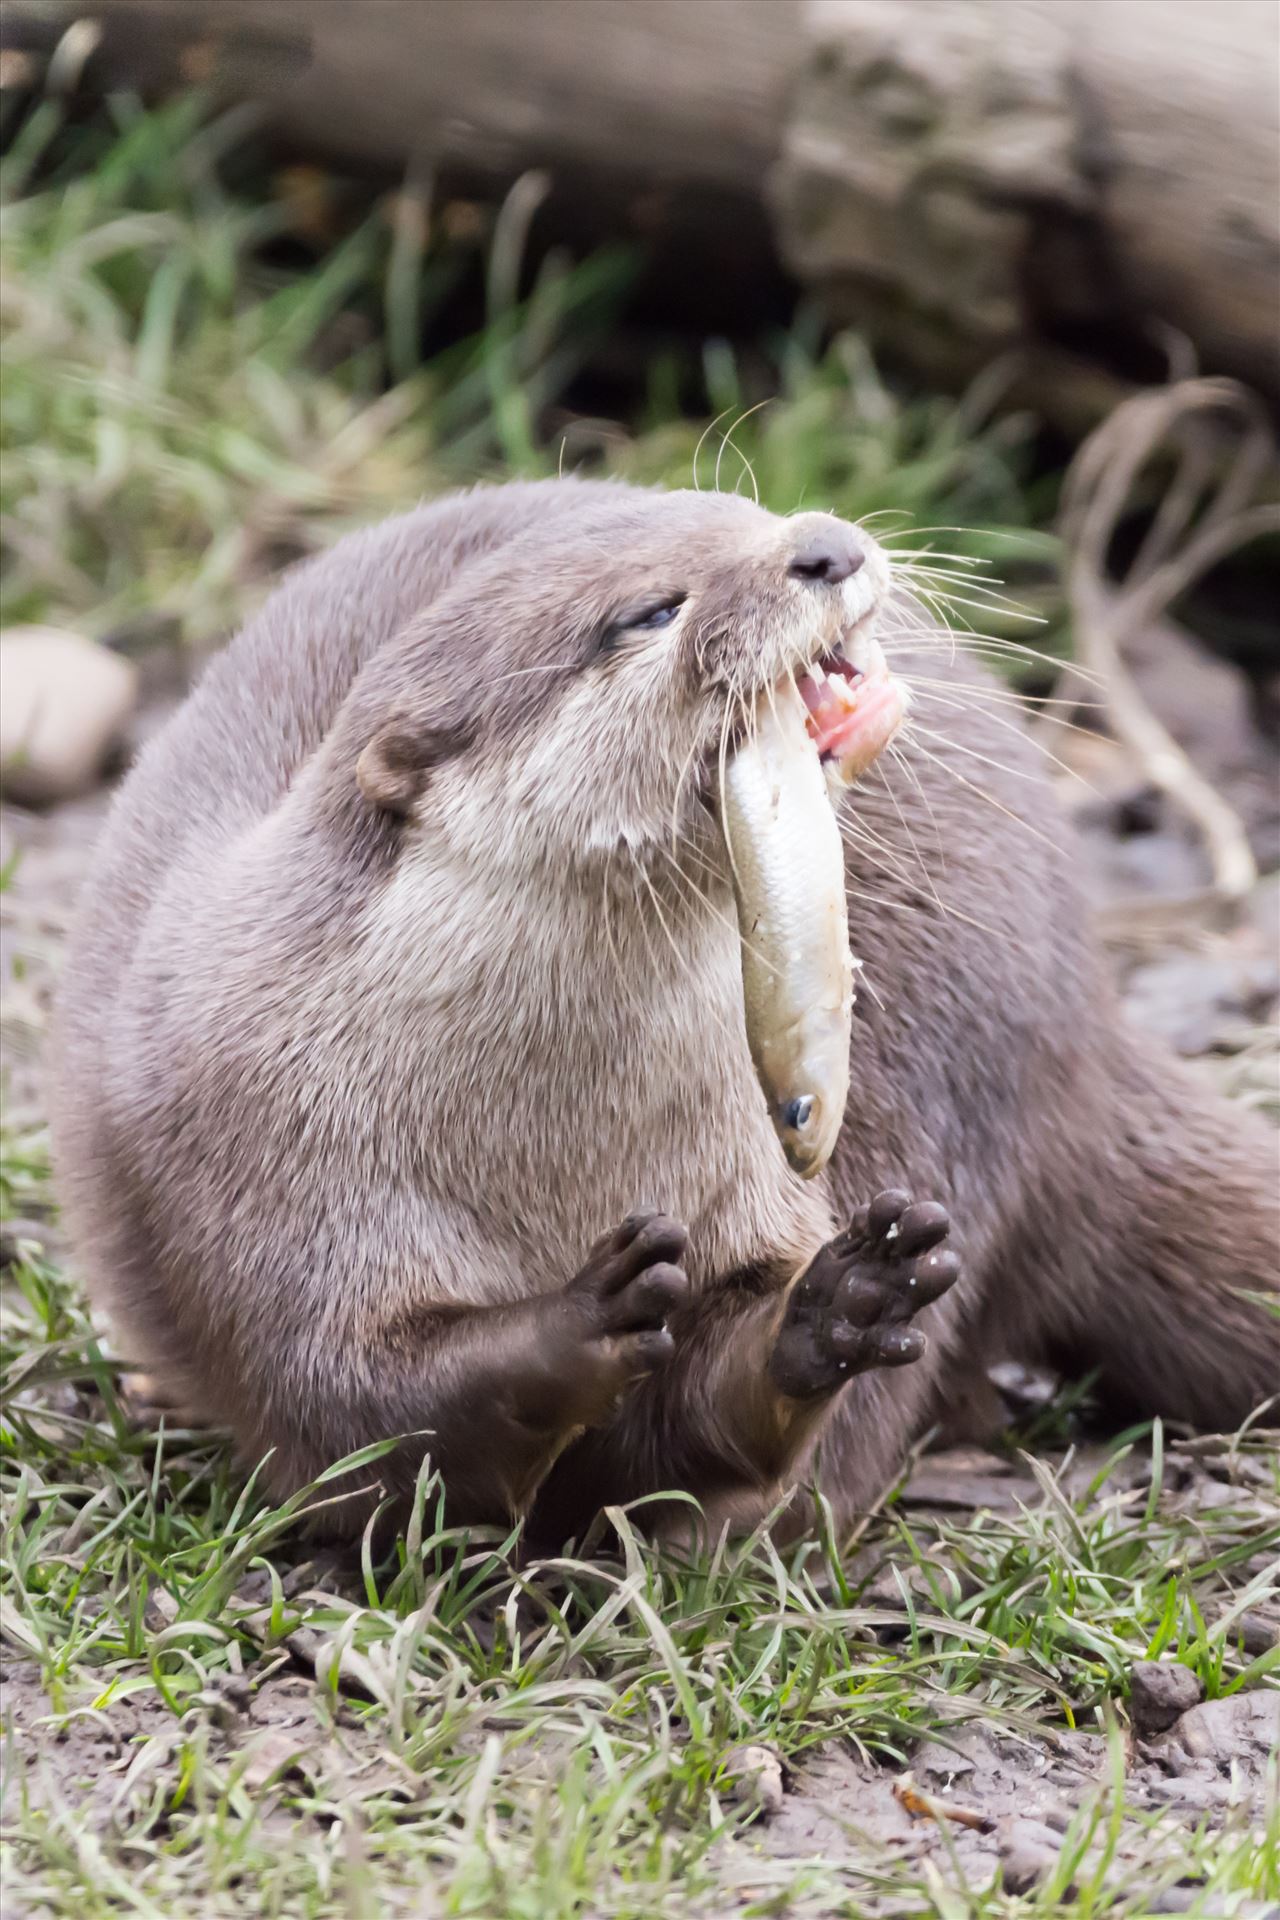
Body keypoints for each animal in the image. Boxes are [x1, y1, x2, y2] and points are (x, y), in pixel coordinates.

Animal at [50, 480, 1280, 1543]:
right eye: (648, 611)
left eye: (749, 510)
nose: (821, 544)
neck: (550, 1148)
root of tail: (1090, 1025)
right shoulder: (265, 1180)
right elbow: (368, 1407)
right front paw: (571, 1324)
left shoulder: (742, 1175)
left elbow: (710, 1409)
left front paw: (833, 1306)